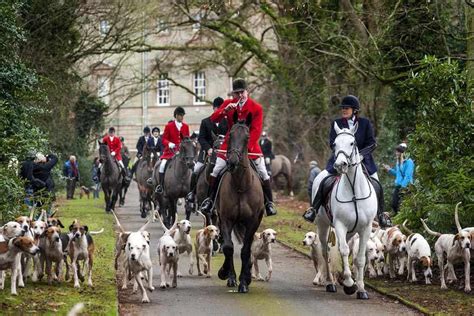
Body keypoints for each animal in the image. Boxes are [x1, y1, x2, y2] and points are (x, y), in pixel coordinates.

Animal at [217, 114, 264, 294]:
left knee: (247, 246)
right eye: (230, 134)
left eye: (247, 137)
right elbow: (228, 247)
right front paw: (226, 274)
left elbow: (245, 250)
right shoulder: (226, 219)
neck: (240, 186)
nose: (232, 162)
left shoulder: (252, 222)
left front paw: (244, 281)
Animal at [312, 122, 376, 300]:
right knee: (326, 252)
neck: (354, 191)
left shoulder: (366, 228)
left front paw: (360, 288)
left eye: (352, 143)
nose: (340, 165)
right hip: (323, 225)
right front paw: (349, 283)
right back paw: (331, 283)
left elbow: (359, 258)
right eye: (334, 144)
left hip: (351, 231)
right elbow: (344, 251)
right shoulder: (340, 225)